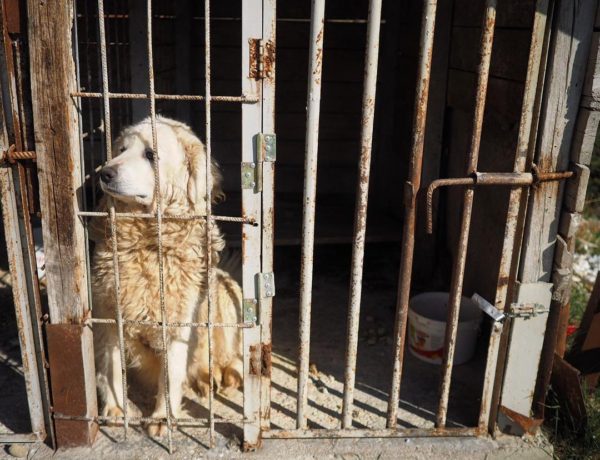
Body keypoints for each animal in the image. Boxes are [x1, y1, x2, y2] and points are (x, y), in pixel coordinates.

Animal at [90, 117, 240, 436]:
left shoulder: (178, 324)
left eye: (150, 154)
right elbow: (111, 367)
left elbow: (170, 376)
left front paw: (162, 417)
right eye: (121, 149)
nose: (105, 173)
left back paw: (220, 375)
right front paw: (117, 410)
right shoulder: (109, 313)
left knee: (230, 355)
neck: (148, 243)